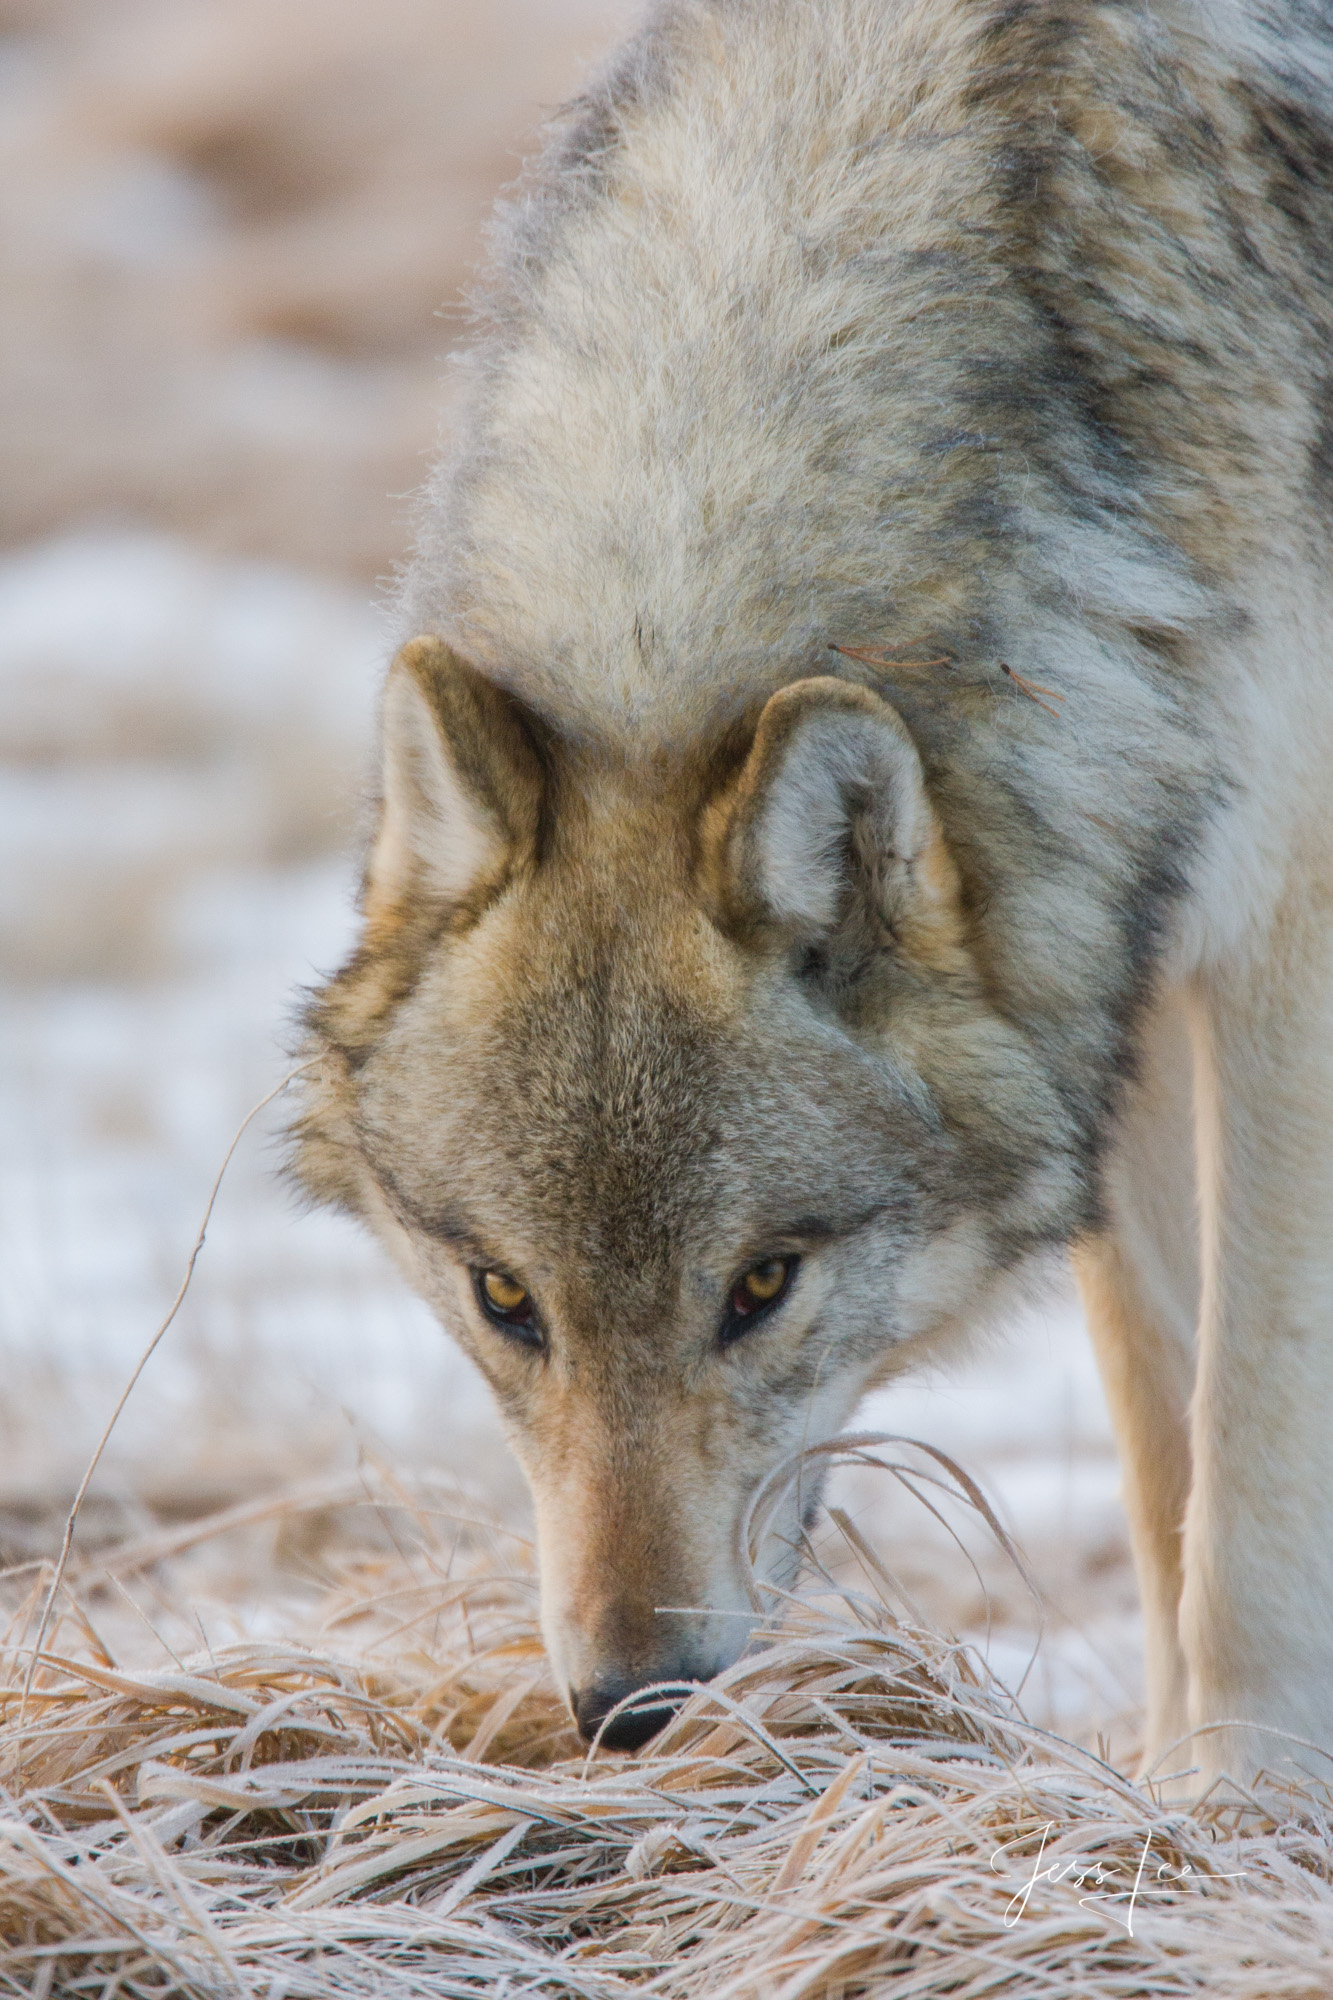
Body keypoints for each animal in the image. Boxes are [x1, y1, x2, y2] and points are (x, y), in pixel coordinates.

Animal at [296, 0, 1328, 1784]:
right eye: (506, 1299)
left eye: (760, 1286)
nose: (630, 1706)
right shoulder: (1108, 956)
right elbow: (1164, 1454)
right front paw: (1151, 1801)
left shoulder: (1279, 935)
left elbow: (1249, 1478)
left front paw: (1235, 1808)